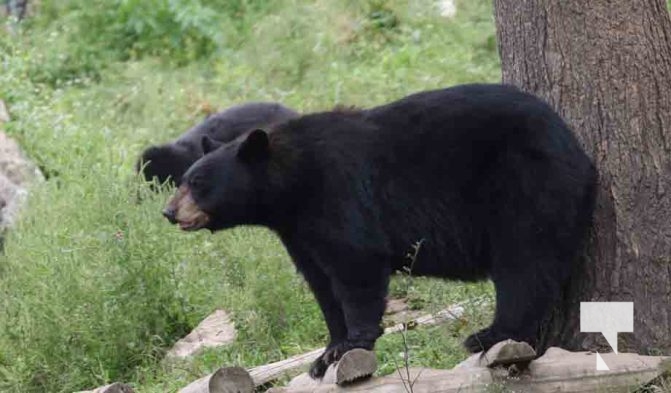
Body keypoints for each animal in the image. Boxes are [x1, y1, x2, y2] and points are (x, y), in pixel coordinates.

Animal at [163, 84, 600, 378]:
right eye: (183, 180)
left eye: (198, 183)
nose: (168, 212)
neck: (292, 185)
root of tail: (580, 153)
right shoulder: (298, 231)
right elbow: (321, 282)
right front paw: (327, 351)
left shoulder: (336, 192)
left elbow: (355, 262)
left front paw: (352, 342)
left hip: (526, 184)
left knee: (524, 263)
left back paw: (489, 335)